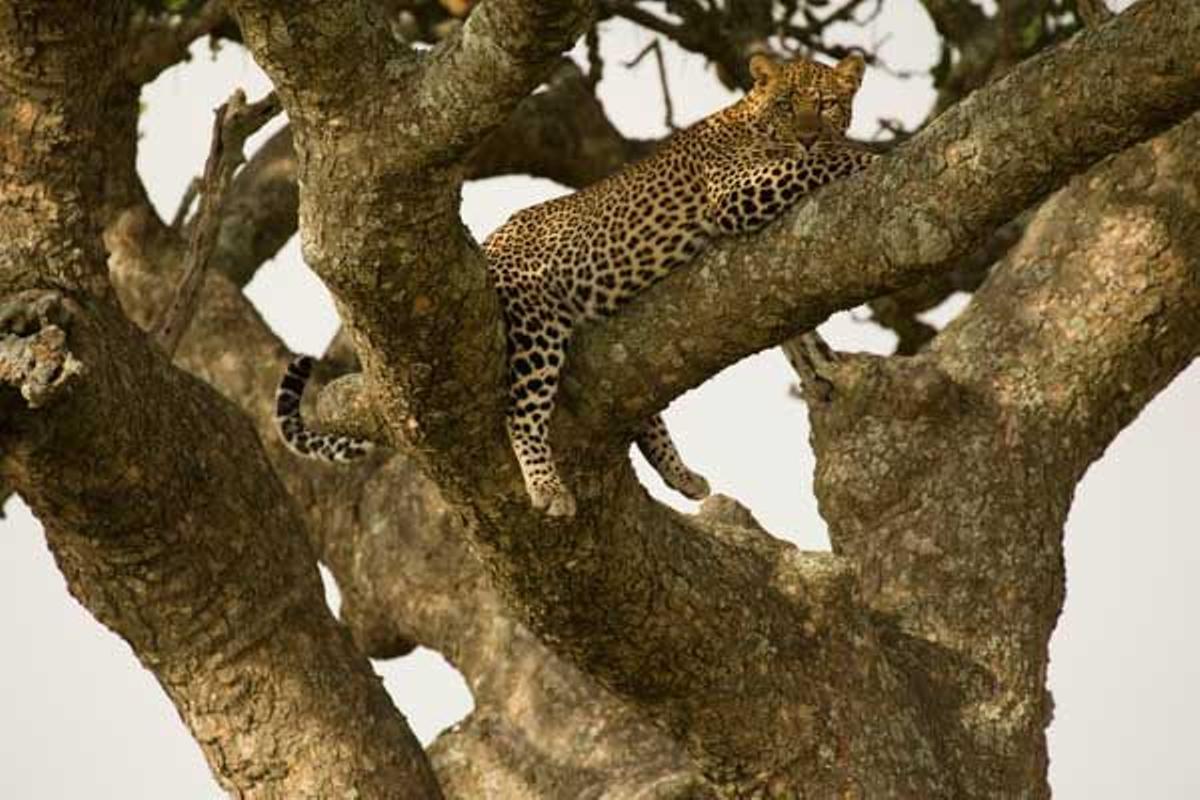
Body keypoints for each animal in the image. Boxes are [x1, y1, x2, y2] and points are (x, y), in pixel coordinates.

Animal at [274, 51, 883, 520]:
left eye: (826, 104)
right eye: (786, 106)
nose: (807, 135)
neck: (752, 120)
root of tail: (489, 246)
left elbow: (793, 331)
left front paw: (818, 359)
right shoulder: (734, 192)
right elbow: (818, 165)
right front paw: (872, 155)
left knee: (643, 417)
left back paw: (684, 477)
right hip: (537, 323)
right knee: (521, 413)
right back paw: (547, 488)